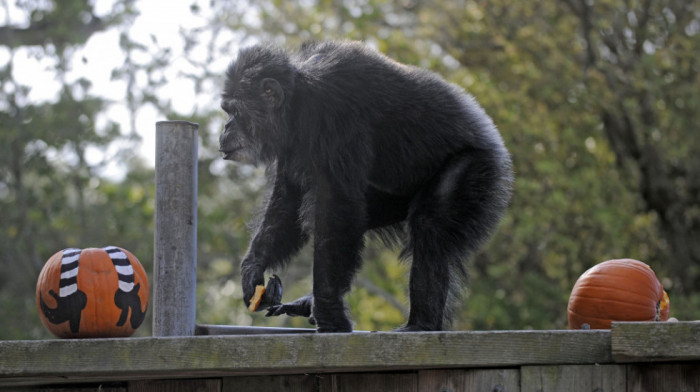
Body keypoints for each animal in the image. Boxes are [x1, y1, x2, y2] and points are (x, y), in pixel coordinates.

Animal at [220, 41, 516, 332]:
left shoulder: (335, 111)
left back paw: (421, 324)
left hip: (479, 167)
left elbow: (335, 203)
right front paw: (252, 271)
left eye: (235, 111)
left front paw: (330, 315)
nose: (225, 127)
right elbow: (288, 200)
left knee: (429, 223)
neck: (298, 102)